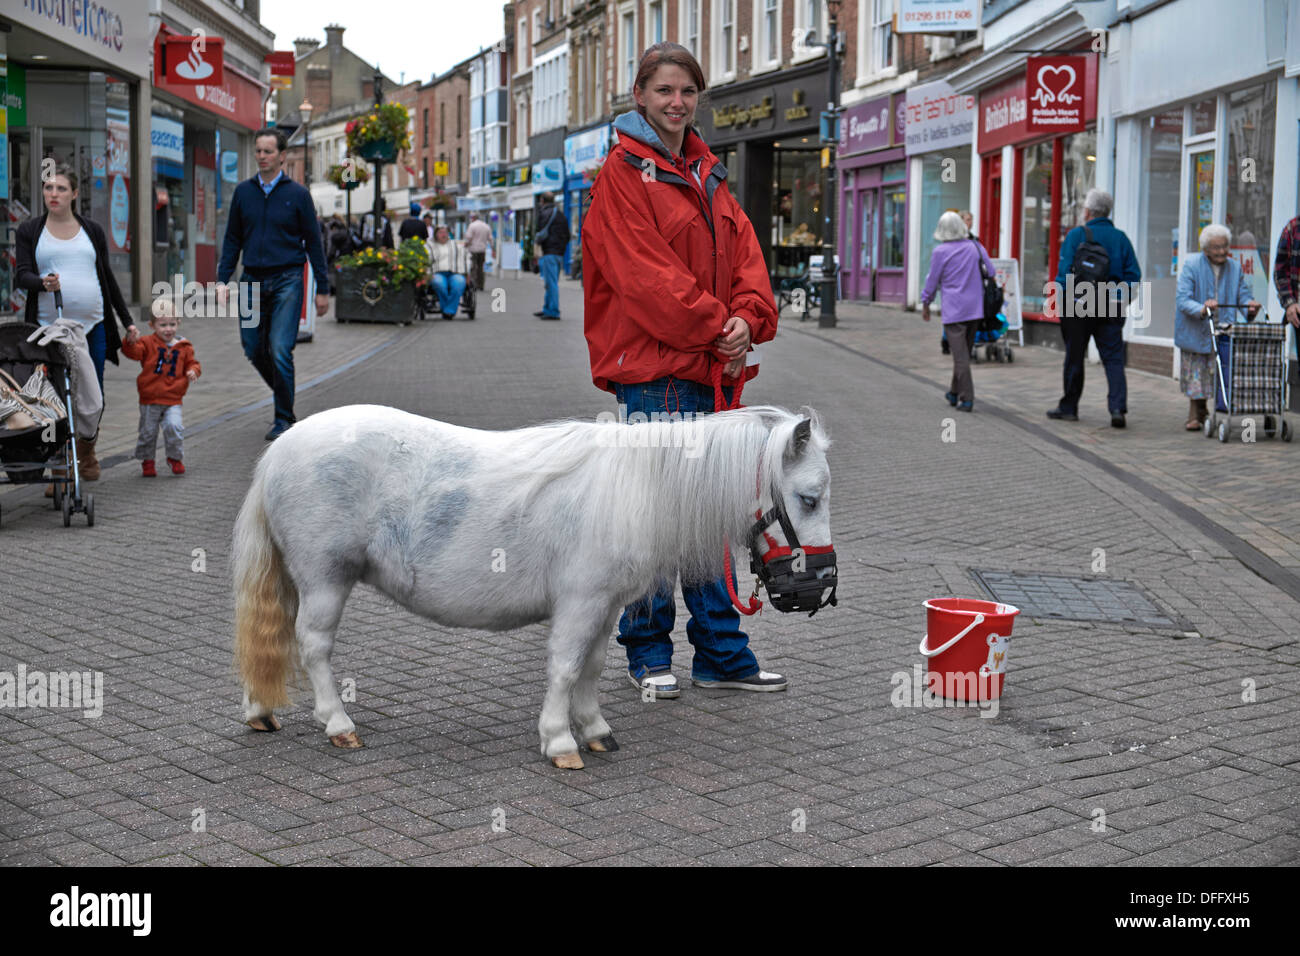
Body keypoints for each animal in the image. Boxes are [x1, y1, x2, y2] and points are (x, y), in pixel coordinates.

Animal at [232, 403, 832, 770]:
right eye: (809, 498)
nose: (821, 584)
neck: (636, 488)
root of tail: (279, 452)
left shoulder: (603, 607)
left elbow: (590, 668)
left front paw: (594, 729)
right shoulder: (581, 603)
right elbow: (565, 668)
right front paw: (561, 741)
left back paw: (260, 711)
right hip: (325, 578)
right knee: (313, 646)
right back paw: (338, 723)